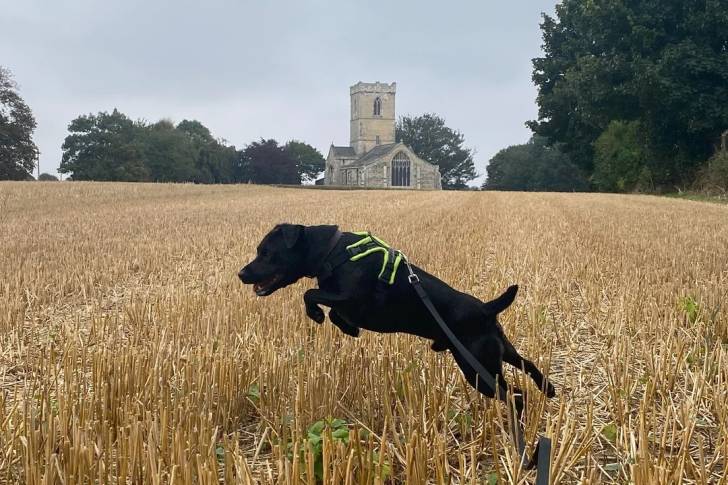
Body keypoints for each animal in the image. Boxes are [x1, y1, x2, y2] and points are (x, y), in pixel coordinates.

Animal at [238, 224, 556, 414]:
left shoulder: (352, 298)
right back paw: (548, 389)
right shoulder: (346, 303)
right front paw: (347, 327)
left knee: (515, 394)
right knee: (527, 364)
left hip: (478, 368)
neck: (332, 252)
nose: (241, 273)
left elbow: (311, 293)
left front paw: (317, 315)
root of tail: (487, 309)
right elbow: (333, 310)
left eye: (266, 252)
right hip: (497, 351)